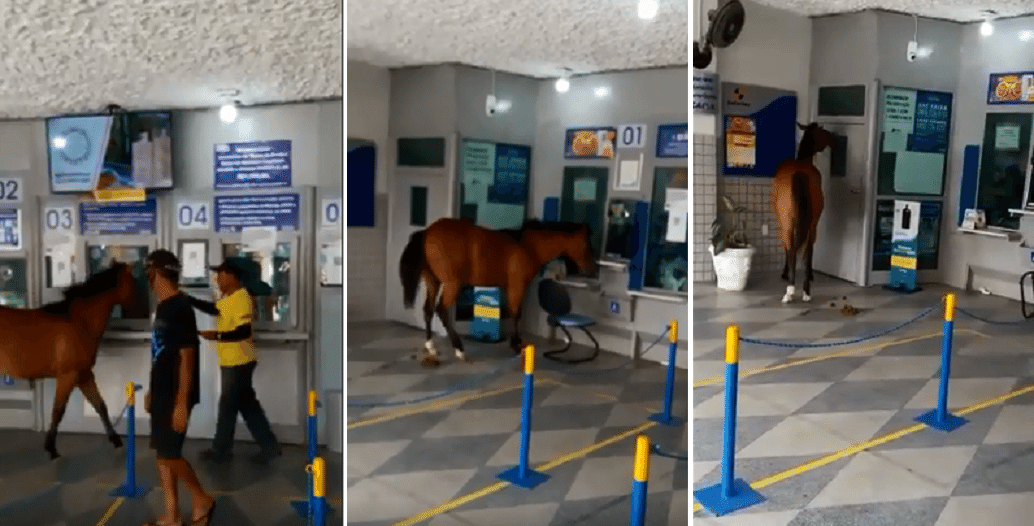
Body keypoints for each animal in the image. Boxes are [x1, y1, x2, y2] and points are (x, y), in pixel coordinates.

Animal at [0, 260, 140, 456]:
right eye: (133, 283)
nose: (139, 308)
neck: (79, 322)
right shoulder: (68, 376)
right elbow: (58, 411)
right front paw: (51, 448)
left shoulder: (84, 374)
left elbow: (100, 405)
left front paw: (116, 440)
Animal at [399, 218, 595, 365]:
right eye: (586, 245)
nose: (591, 269)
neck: (526, 246)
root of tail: (427, 232)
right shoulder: (517, 287)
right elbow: (516, 314)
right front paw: (517, 345)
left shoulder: (508, 288)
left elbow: (513, 312)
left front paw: (515, 343)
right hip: (451, 285)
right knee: (441, 310)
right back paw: (459, 350)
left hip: (432, 281)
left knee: (428, 310)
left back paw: (431, 346)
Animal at [773, 122, 835, 301]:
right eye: (823, 131)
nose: (833, 138)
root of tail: (799, 172)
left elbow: (787, 248)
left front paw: (785, 273)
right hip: (813, 223)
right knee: (809, 248)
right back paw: (806, 290)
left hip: (787, 223)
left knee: (791, 247)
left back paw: (790, 289)